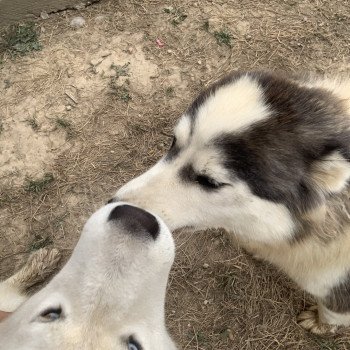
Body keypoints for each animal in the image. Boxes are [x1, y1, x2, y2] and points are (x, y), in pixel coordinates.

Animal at [114, 70, 350, 334]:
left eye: (210, 181)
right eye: (174, 142)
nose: (115, 206)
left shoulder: (338, 292)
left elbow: (331, 314)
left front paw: (319, 324)